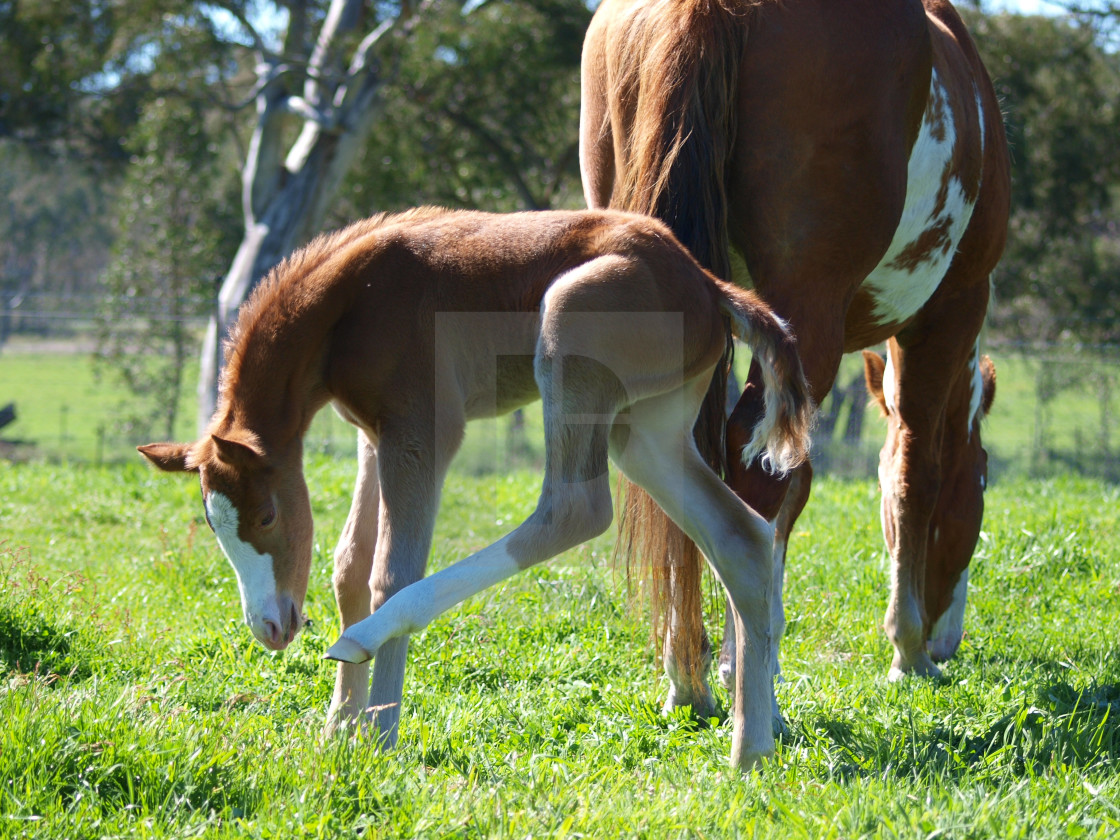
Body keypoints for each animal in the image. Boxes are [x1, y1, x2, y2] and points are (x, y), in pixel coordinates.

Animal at [140, 209, 815, 770]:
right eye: (214, 524)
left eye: (267, 516)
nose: (270, 628)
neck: (347, 305)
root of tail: (706, 284)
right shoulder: (370, 436)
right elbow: (350, 567)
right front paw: (338, 728)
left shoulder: (421, 430)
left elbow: (391, 572)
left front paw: (378, 733)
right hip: (645, 428)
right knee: (740, 538)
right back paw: (750, 750)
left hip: (571, 330)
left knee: (575, 510)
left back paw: (361, 641)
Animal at [582, 0, 1012, 721]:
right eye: (981, 481)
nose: (947, 638)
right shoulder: (948, 311)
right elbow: (913, 472)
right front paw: (907, 651)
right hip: (806, 310)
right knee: (756, 476)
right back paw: (752, 694)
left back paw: (687, 678)